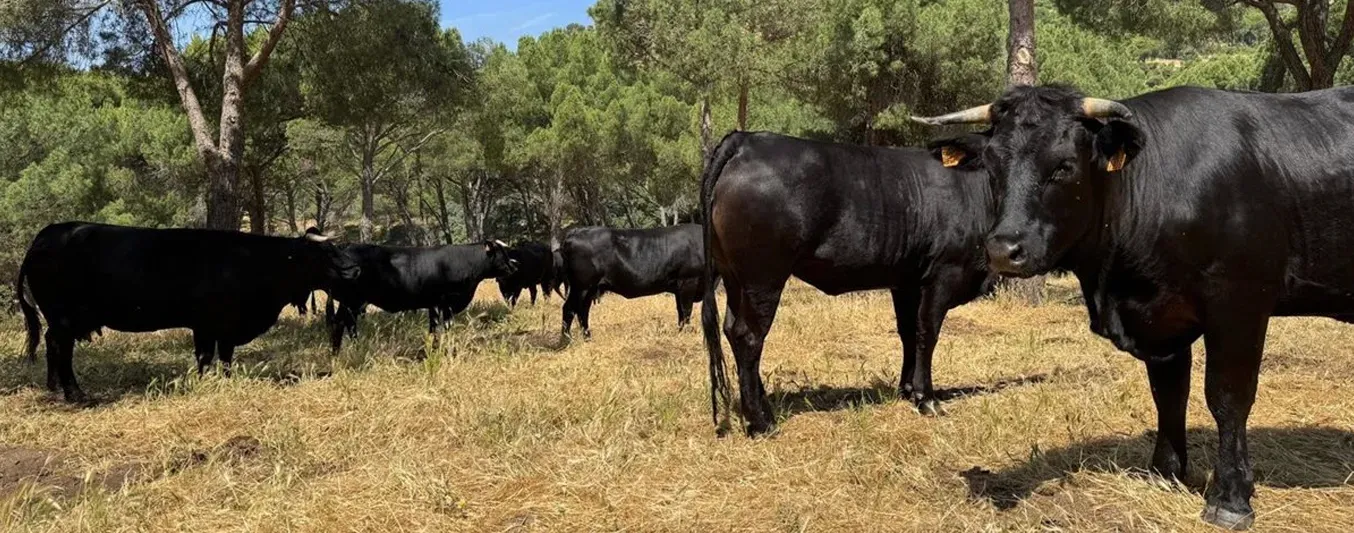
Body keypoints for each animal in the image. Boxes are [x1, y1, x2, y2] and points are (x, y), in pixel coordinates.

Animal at [14, 221, 360, 403]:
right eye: (324, 253)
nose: (355, 269)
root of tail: (46, 235)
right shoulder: (208, 324)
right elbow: (206, 356)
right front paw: (206, 382)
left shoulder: (223, 327)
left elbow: (224, 357)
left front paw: (224, 380)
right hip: (64, 317)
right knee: (61, 347)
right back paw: (75, 394)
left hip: (61, 319)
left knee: (52, 345)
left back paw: (54, 387)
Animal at [325, 240, 517, 353]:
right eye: (502, 254)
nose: (514, 267)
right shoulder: (446, 302)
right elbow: (446, 326)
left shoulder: (434, 304)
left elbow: (433, 328)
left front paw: (433, 347)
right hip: (351, 301)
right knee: (344, 323)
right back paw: (345, 350)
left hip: (351, 302)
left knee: (344, 323)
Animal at [558, 224, 706, 338]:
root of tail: (575, 232)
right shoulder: (688, 281)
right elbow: (686, 310)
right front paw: (686, 333)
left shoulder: (678, 288)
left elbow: (680, 311)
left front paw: (680, 332)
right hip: (581, 286)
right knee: (569, 309)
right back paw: (567, 340)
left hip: (590, 289)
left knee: (583, 310)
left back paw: (587, 337)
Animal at [700, 131, 998, 437]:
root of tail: (745, 140)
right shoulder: (942, 275)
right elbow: (927, 333)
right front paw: (927, 399)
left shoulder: (905, 282)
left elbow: (908, 332)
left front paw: (907, 390)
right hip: (763, 277)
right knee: (748, 336)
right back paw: (761, 424)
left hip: (734, 278)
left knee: (731, 329)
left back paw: (765, 412)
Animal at [912, 84, 1354, 530]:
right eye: (991, 166)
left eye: (1064, 166)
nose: (1003, 250)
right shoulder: (1163, 320)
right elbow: (1169, 393)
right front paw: (1164, 472)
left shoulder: (1239, 304)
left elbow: (1228, 397)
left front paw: (1230, 499)